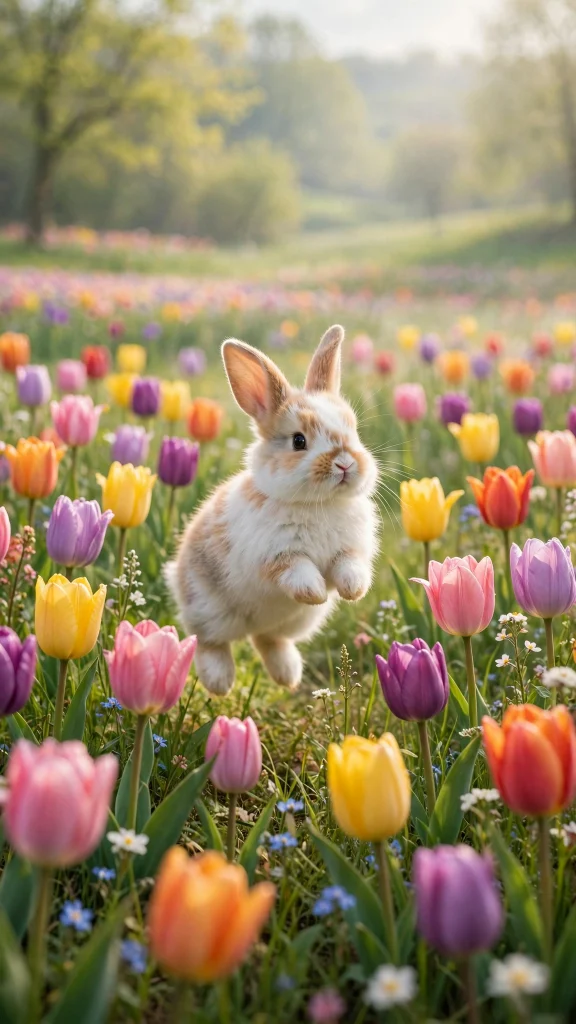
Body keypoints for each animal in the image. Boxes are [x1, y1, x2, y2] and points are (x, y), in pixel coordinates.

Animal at [165, 324, 379, 695]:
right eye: (298, 441)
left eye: (353, 430)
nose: (345, 463)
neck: (318, 504)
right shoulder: (278, 556)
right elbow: (299, 573)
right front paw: (316, 593)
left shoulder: (350, 550)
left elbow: (350, 567)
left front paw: (352, 592)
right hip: (208, 611)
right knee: (210, 643)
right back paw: (220, 683)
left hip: (292, 623)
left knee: (267, 638)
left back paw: (288, 676)